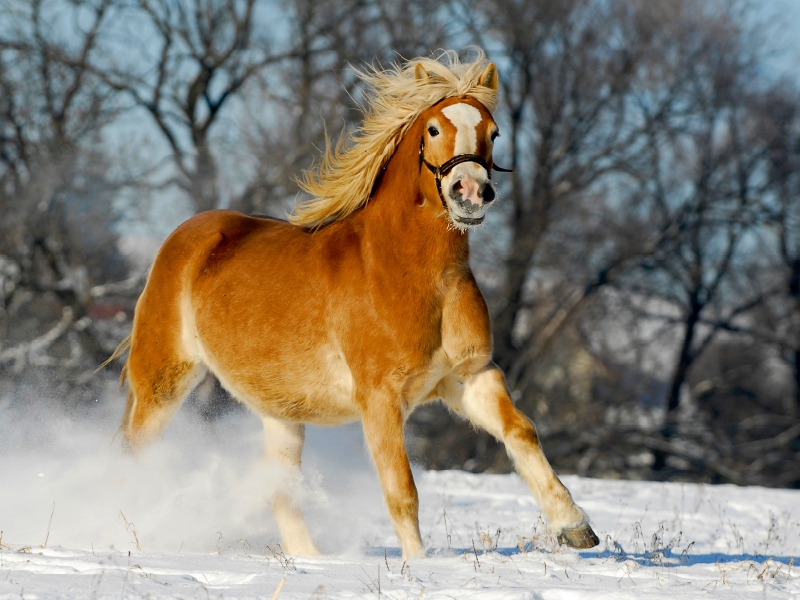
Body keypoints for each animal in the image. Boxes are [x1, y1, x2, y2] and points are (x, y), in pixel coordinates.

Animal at [112, 50, 600, 556]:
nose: (471, 192)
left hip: (280, 413)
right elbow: (401, 490)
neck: (414, 275)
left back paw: (310, 560)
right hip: (163, 379)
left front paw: (575, 527)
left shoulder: (469, 378)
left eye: (494, 131)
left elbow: (520, 431)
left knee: (282, 495)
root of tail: (185, 237)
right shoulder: (380, 398)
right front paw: (419, 564)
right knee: (131, 455)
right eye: (433, 129)